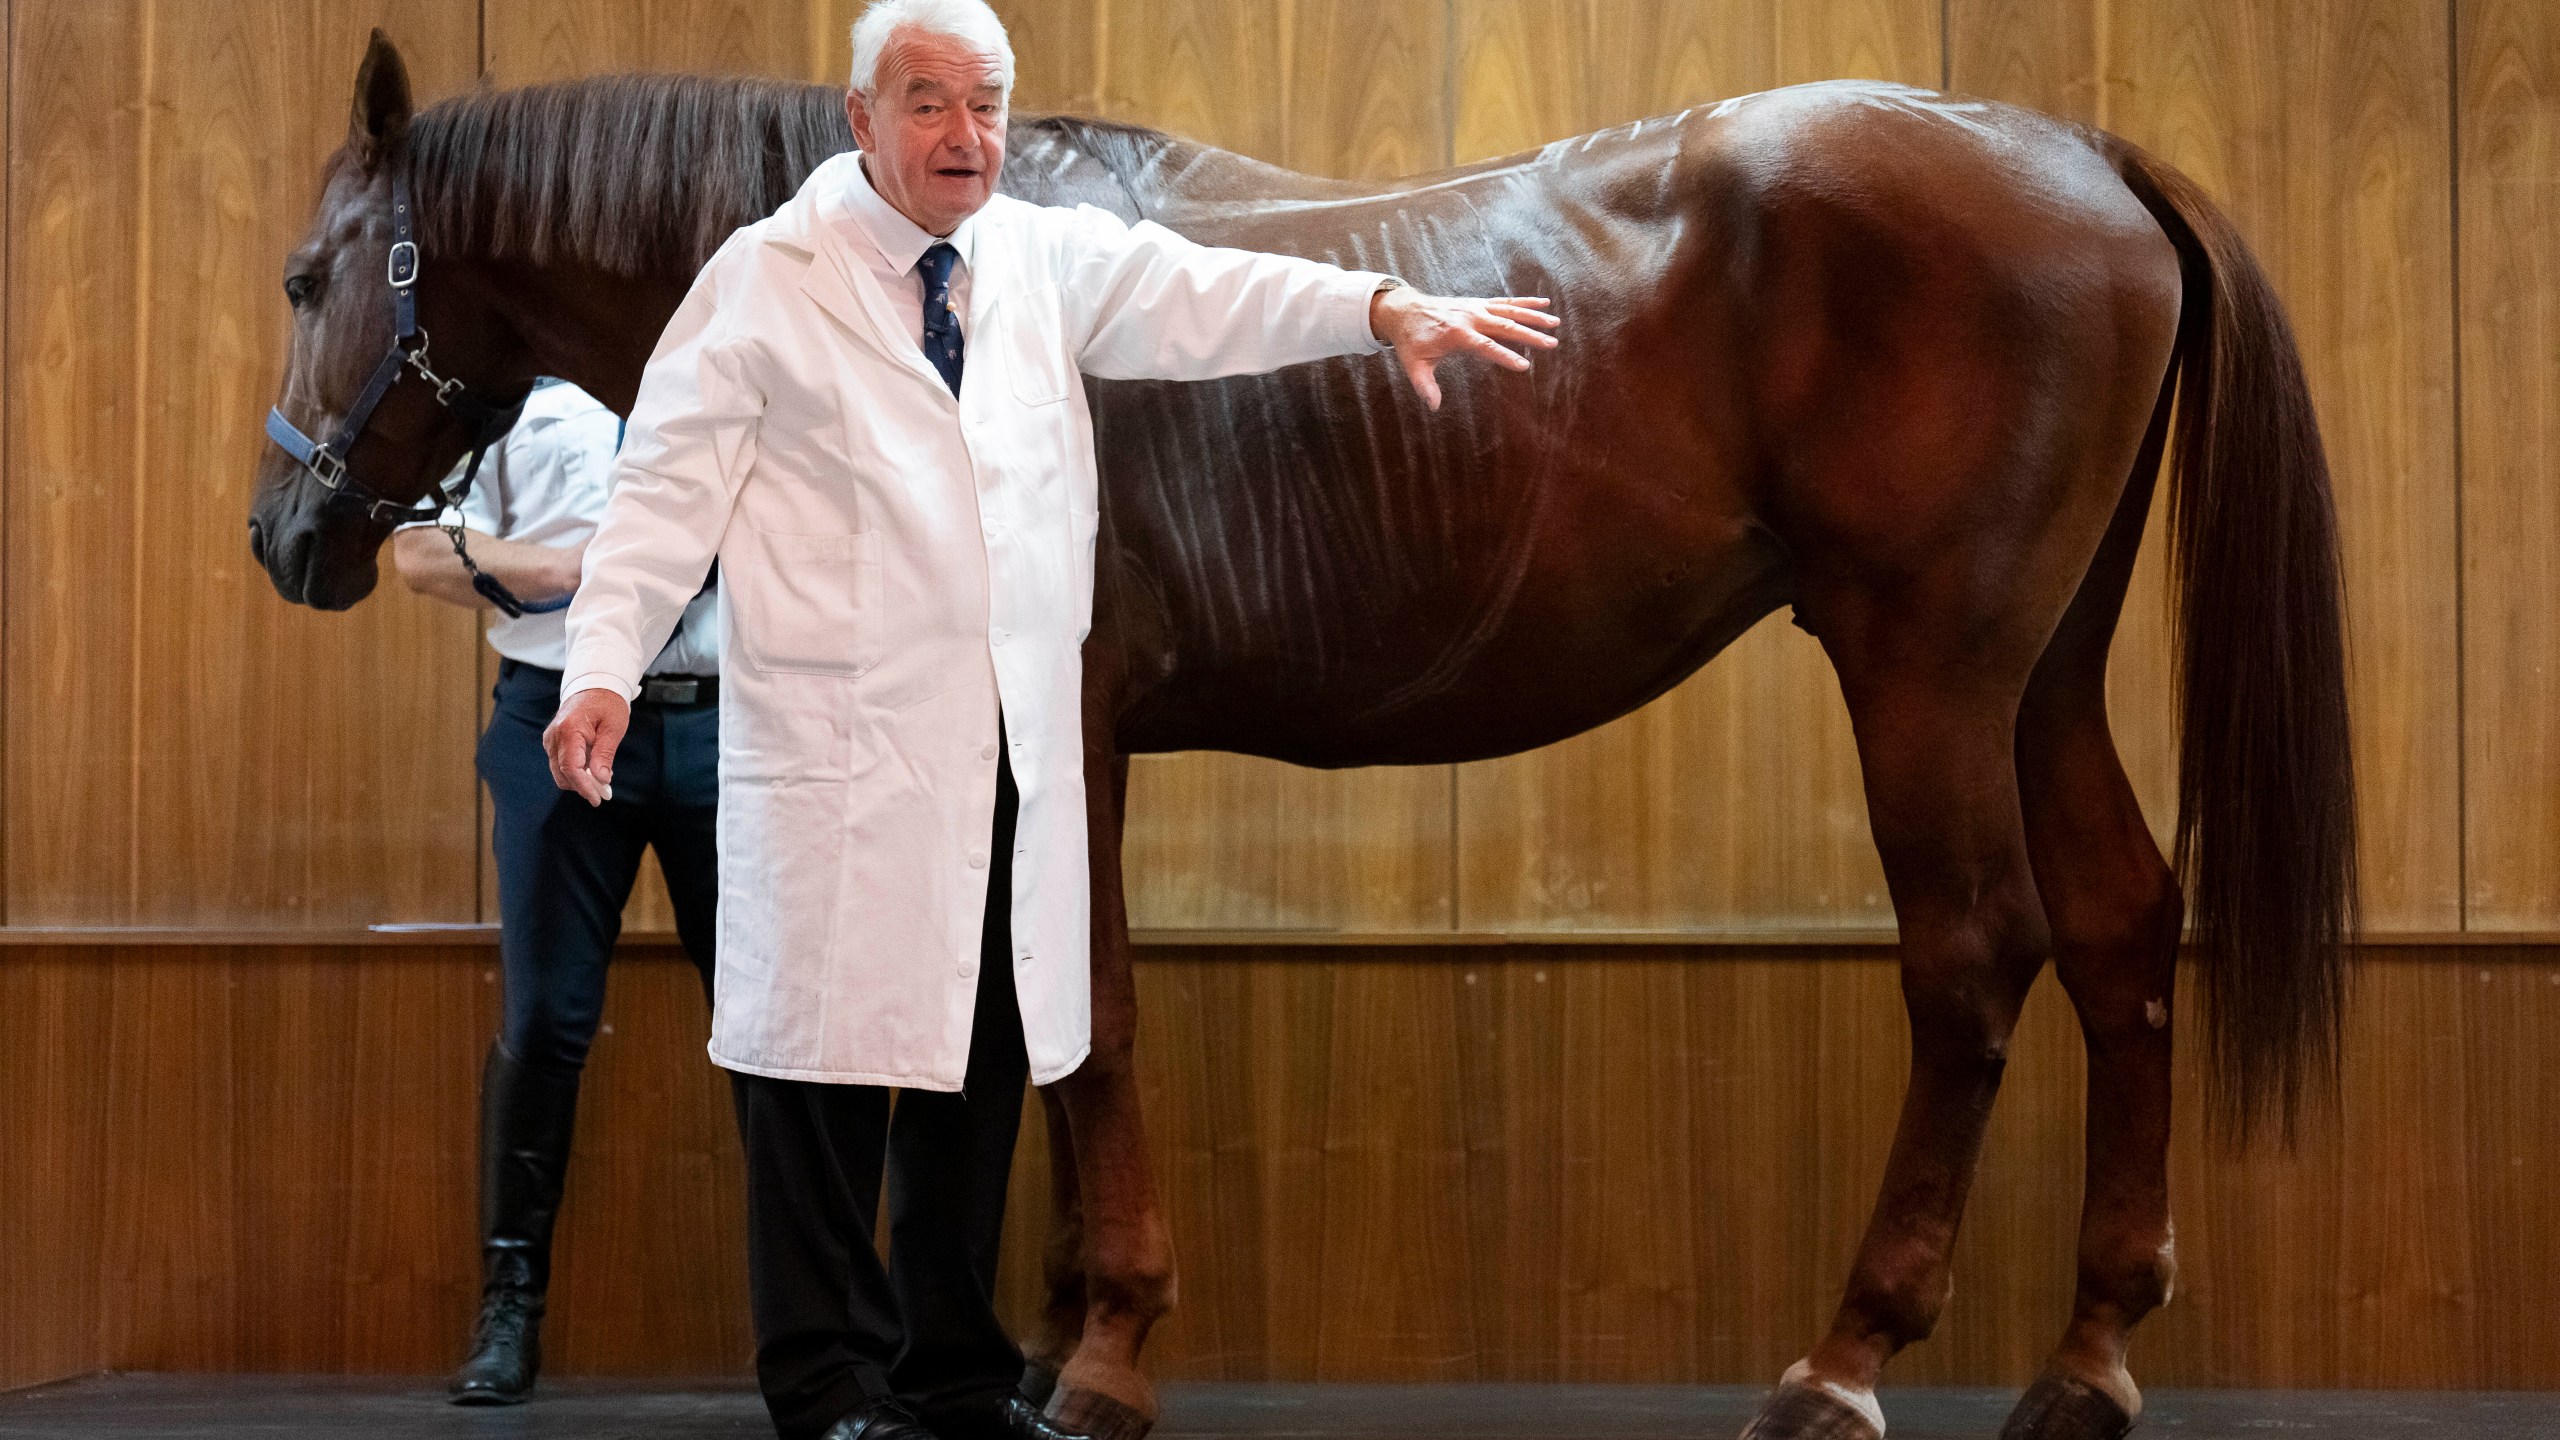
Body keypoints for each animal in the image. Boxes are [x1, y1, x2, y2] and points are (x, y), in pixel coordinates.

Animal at [249, 33, 2344, 1434]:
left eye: (303, 274)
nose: (285, 538)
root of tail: (2080, 156)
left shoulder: (1068, 730)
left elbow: (1088, 1014)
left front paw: (1102, 1355)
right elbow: (1028, 1027)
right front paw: (1043, 1336)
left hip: (1925, 667)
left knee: (1977, 960)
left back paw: (1844, 1362)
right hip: (2041, 669)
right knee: (2121, 932)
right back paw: (2087, 1360)